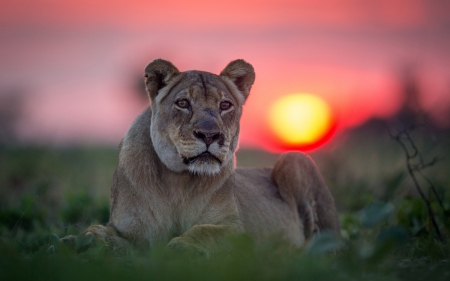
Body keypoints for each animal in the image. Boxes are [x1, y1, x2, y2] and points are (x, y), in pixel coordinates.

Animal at [61, 58, 340, 254]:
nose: (209, 135)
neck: (177, 181)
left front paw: (182, 246)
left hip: (293, 159)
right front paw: (77, 240)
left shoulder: (240, 231)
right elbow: (99, 230)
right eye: (183, 103)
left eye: (225, 105)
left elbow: (205, 230)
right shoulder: (129, 230)